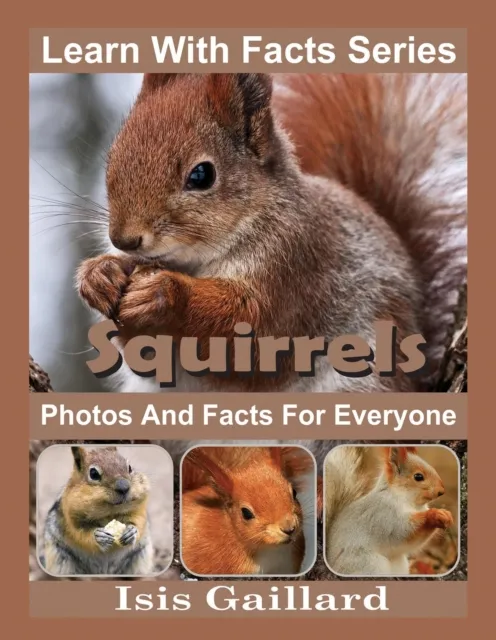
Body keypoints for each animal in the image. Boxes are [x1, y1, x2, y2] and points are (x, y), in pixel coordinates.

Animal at [42, 446, 154, 576]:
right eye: (93, 473)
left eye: (130, 467)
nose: (124, 487)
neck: (110, 512)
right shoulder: (70, 517)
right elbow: (79, 533)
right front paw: (98, 536)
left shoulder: (138, 509)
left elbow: (139, 520)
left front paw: (132, 531)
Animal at [77, 72, 467, 392]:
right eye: (113, 155)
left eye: (202, 175)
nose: (124, 239)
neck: (195, 262)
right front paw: (101, 275)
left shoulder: (295, 265)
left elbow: (254, 335)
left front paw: (163, 293)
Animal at [324, 446, 454, 576]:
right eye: (418, 477)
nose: (441, 491)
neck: (411, 503)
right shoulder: (384, 515)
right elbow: (402, 531)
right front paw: (433, 515)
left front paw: (446, 514)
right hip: (369, 564)